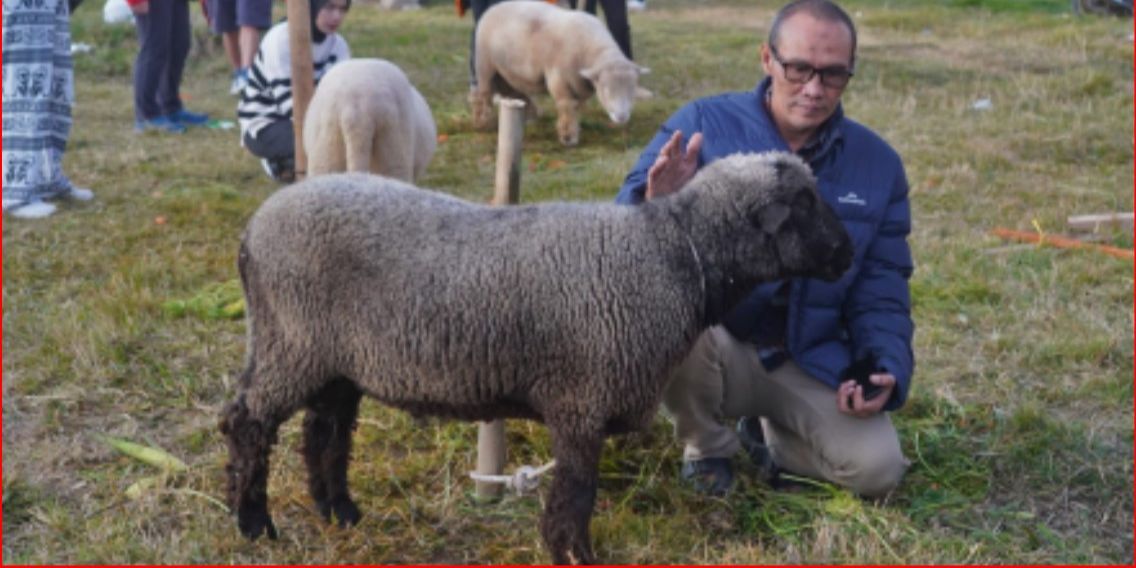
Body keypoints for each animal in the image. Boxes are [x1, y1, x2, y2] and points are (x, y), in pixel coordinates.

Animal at [219, 149, 854, 563]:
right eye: (804, 202)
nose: (847, 255)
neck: (673, 253)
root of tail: (251, 231)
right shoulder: (581, 402)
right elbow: (576, 494)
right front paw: (573, 555)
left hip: (334, 360)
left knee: (325, 431)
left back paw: (339, 512)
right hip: (289, 342)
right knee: (247, 422)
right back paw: (254, 524)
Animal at [470, 1, 649, 146]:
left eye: (633, 89)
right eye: (605, 90)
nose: (622, 117)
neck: (591, 51)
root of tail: (494, 7)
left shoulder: (578, 85)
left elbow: (575, 107)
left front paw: (573, 131)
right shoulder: (559, 79)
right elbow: (567, 106)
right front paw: (568, 137)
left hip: (508, 70)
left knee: (511, 89)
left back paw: (530, 114)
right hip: (485, 65)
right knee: (484, 93)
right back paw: (482, 122)